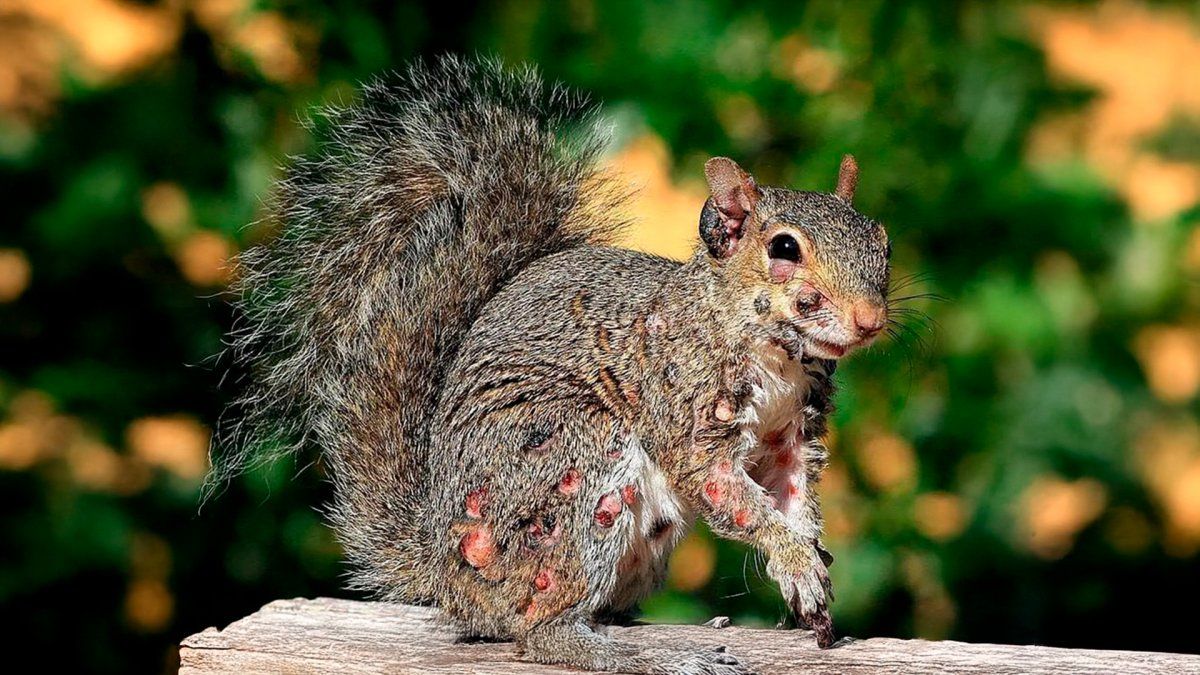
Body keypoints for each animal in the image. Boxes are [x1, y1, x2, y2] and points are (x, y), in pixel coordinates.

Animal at [211, 56, 891, 674]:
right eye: (784, 248)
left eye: (880, 241)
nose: (869, 319)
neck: (776, 356)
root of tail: (450, 579)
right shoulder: (686, 410)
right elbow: (729, 493)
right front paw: (795, 559)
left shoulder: (791, 439)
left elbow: (793, 497)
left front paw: (808, 569)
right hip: (574, 465)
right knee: (540, 631)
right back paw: (645, 655)